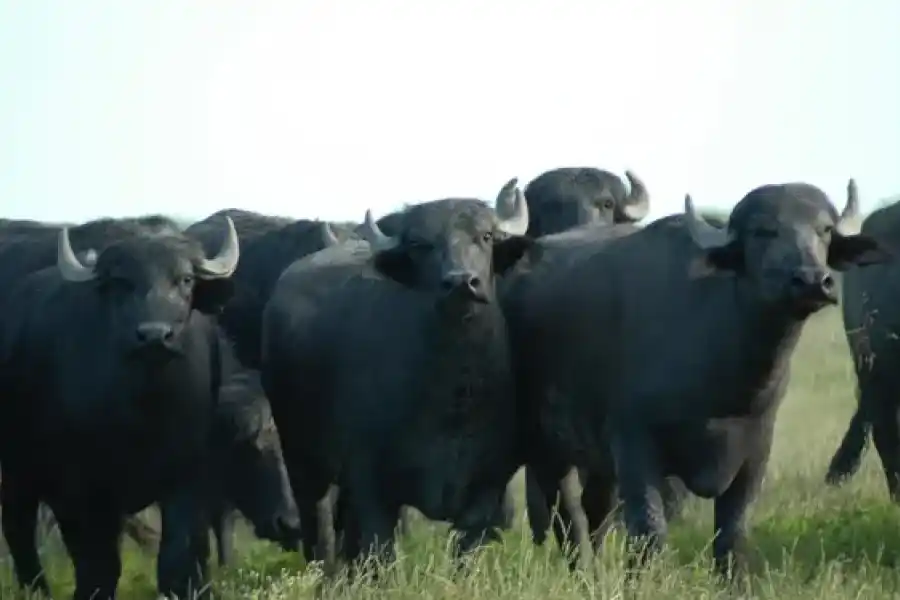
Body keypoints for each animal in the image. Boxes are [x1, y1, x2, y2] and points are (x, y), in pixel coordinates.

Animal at [0, 219, 241, 598]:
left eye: (185, 279)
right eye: (121, 282)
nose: (155, 336)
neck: (144, 411)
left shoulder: (186, 478)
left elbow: (175, 556)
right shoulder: (75, 490)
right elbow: (97, 564)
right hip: (17, 466)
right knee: (18, 523)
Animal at [260, 181, 532, 568]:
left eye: (486, 236)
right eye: (421, 244)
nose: (461, 283)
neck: (454, 398)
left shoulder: (486, 489)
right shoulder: (373, 486)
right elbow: (381, 554)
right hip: (303, 461)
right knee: (318, 527)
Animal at [501, 180, 889, 577]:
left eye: (824, 229)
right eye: (763, 231)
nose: (813, 281)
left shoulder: (755, 450)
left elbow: (732, 535)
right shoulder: (634, 444)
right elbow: (649, 530)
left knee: (595, 509)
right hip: (549, 446)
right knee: (567, 513)